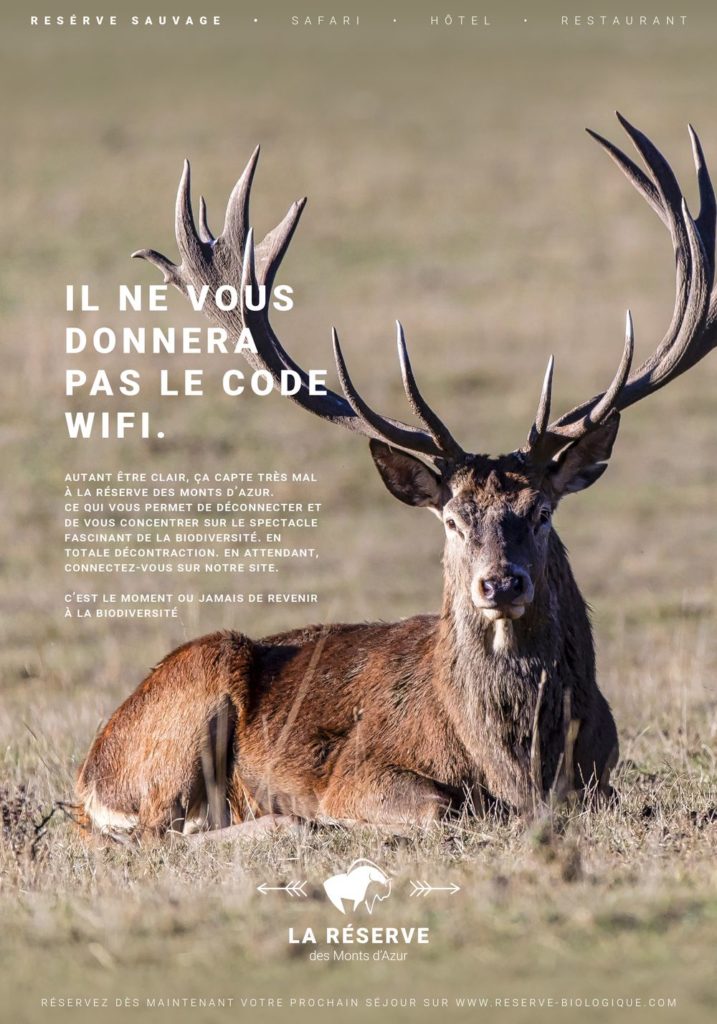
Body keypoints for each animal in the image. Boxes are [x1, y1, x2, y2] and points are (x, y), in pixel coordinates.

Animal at [76, 114, 717, 837]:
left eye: (542, 512)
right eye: (451, 519)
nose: (500, 583)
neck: (521, 771)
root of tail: (87, 776)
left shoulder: (603, 778)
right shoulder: (357, 774)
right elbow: (444, 804)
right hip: (195, 689)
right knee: (164, 829)